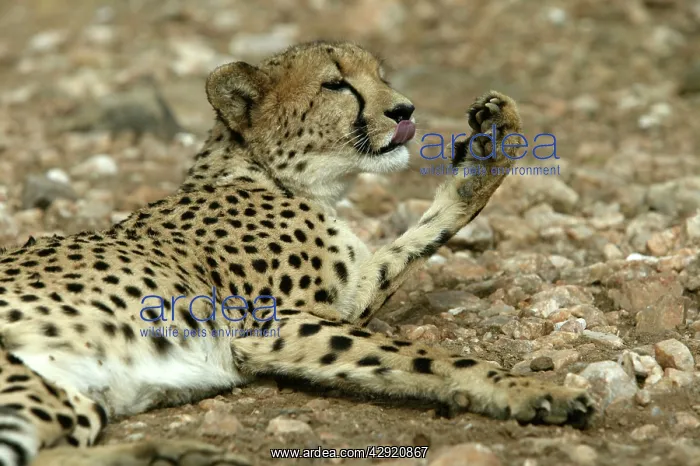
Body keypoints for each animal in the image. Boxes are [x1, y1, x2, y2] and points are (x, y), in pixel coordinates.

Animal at [0, 40, 595, 466]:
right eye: (336, 84)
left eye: (380, 75)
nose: (404, 109)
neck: (276, 176)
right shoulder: (270, 324)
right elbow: (424, 355)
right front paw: (529, 390)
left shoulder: (345, 295)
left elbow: (425, 233)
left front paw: (495, 144)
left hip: (65, 398)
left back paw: (172, 454)